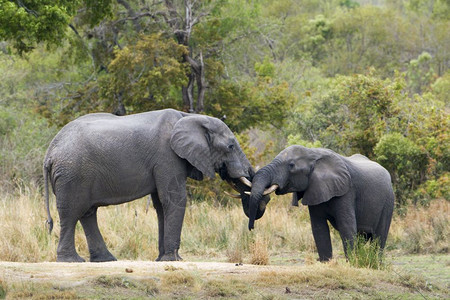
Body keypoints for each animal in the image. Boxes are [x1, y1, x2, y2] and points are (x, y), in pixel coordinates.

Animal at [44, 108, 255, 262]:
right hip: (71, 175)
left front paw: (162, 259)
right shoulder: (167, 157)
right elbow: (174, 199)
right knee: (71, 213)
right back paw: (72, 261)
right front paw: (174, 260)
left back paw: (106, 260)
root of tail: (50, 152)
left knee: (88, 213)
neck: (189, 116)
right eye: (230, 146)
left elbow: (161, 205)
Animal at [244, 145, 396, 260]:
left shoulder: (347, 192)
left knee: (379, 236)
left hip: (389, 201)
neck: (313, 154)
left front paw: (352, 263)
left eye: (291, 165)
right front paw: (327, 264)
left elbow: (346, 226)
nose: (251, 228)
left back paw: (376, 262)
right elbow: (318, 228)